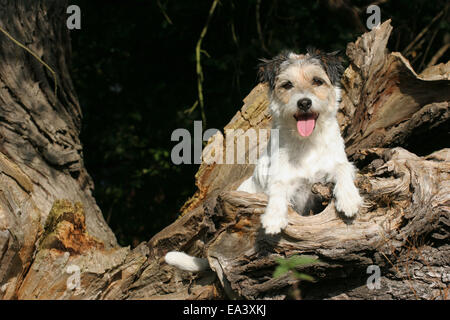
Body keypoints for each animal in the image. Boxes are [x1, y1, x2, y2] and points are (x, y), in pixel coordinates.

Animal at [164, 48, 362, 272]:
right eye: (287, 84)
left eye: (317, 81)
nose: (304, 103)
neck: (306, 142)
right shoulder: (280, 177)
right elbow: (278, 188)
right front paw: (274, 217)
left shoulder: (335, 164)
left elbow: (342, 169)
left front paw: (348, 198)